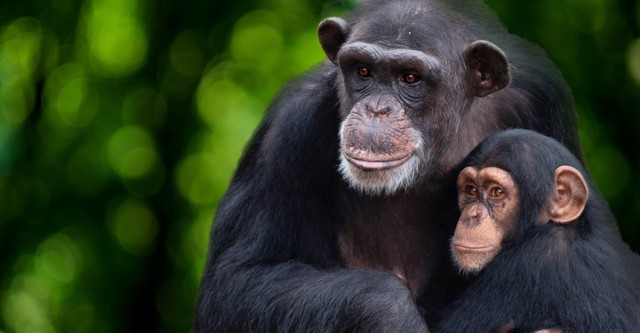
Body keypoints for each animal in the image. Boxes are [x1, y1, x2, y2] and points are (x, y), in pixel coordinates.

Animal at [192, 0, 584, 332]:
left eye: (410, 77)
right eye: (363, 71)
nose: (376, 109)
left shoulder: (543, 97)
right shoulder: (290, 126)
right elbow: (237, 283)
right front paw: (392, 314)